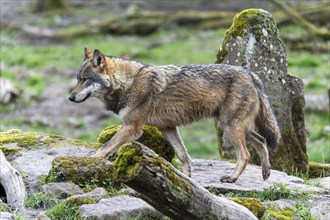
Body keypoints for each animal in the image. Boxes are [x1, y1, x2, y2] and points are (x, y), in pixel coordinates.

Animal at [69, 47, 282, 183]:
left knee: (245, 155)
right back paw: (265, 173)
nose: (70, 97)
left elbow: (105, 147)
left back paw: (232, 178)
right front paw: (186, 181)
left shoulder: (131, 127)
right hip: (232, 125)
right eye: (77, 79)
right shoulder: (168, 128)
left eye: (85, 80)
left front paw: (90, 161)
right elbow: (183, 156)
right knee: (262, 140)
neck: (127, 83)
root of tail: (250, 73)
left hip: (230, 126)